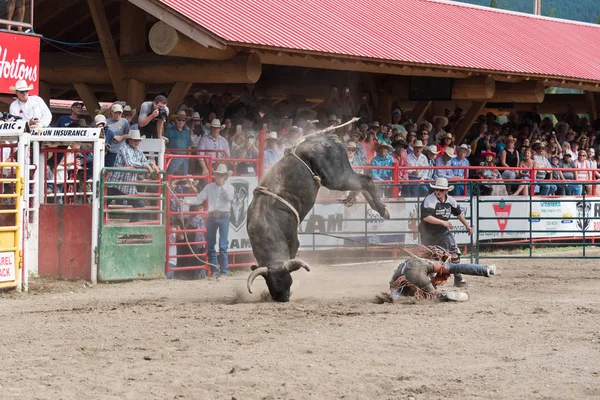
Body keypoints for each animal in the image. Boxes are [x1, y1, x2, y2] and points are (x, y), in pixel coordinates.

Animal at [246, 133, 392, 302]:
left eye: (284, 278)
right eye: (269, 282)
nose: (281, 298)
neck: (266, 222)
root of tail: (328, 138)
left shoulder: (293, 239)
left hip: (336, 178)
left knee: (365, 180)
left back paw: (383, 210)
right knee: (361, 184)